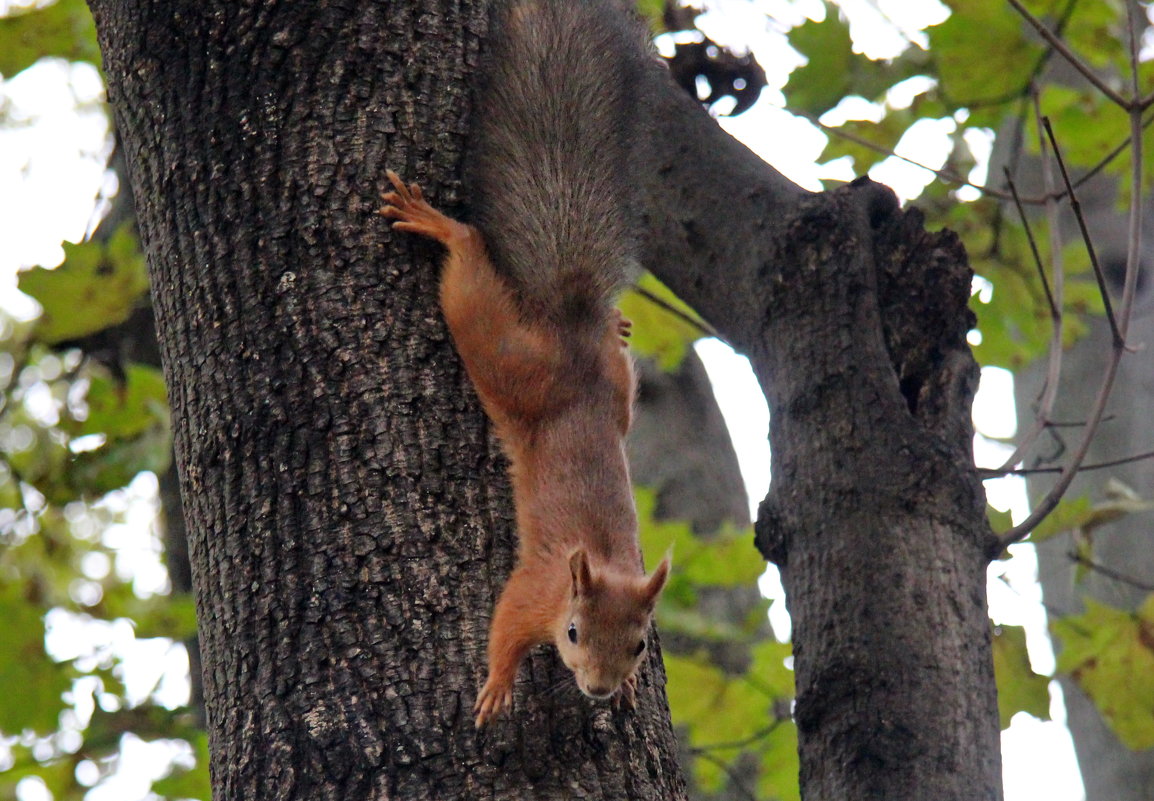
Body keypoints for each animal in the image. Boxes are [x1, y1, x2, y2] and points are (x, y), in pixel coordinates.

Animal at [378, 0, 669, 729]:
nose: (599, 689)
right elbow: (505, 625)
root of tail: (569, 326)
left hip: (615, 389)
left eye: (640, 644)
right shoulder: (535, 587)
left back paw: (616, 324)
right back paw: (437, 224)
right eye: (573, 632)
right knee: (469, 261)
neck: (598, 565)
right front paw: (496, 685)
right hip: (505, 357)